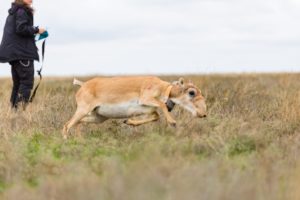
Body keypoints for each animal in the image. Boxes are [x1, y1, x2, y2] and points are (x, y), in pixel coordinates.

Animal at [62, 76, 206, 139]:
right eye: (191, 92)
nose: (203, 114)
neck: (164, 88)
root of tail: (83, 84)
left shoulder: (148, 109)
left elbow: (156, 116)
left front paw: (129, 121)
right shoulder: (146, 99)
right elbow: (161, 106)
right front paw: (172, 122)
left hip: (98, 117)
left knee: (76, 123)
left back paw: (80, 139)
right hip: (83, 110)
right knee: (67, 125)